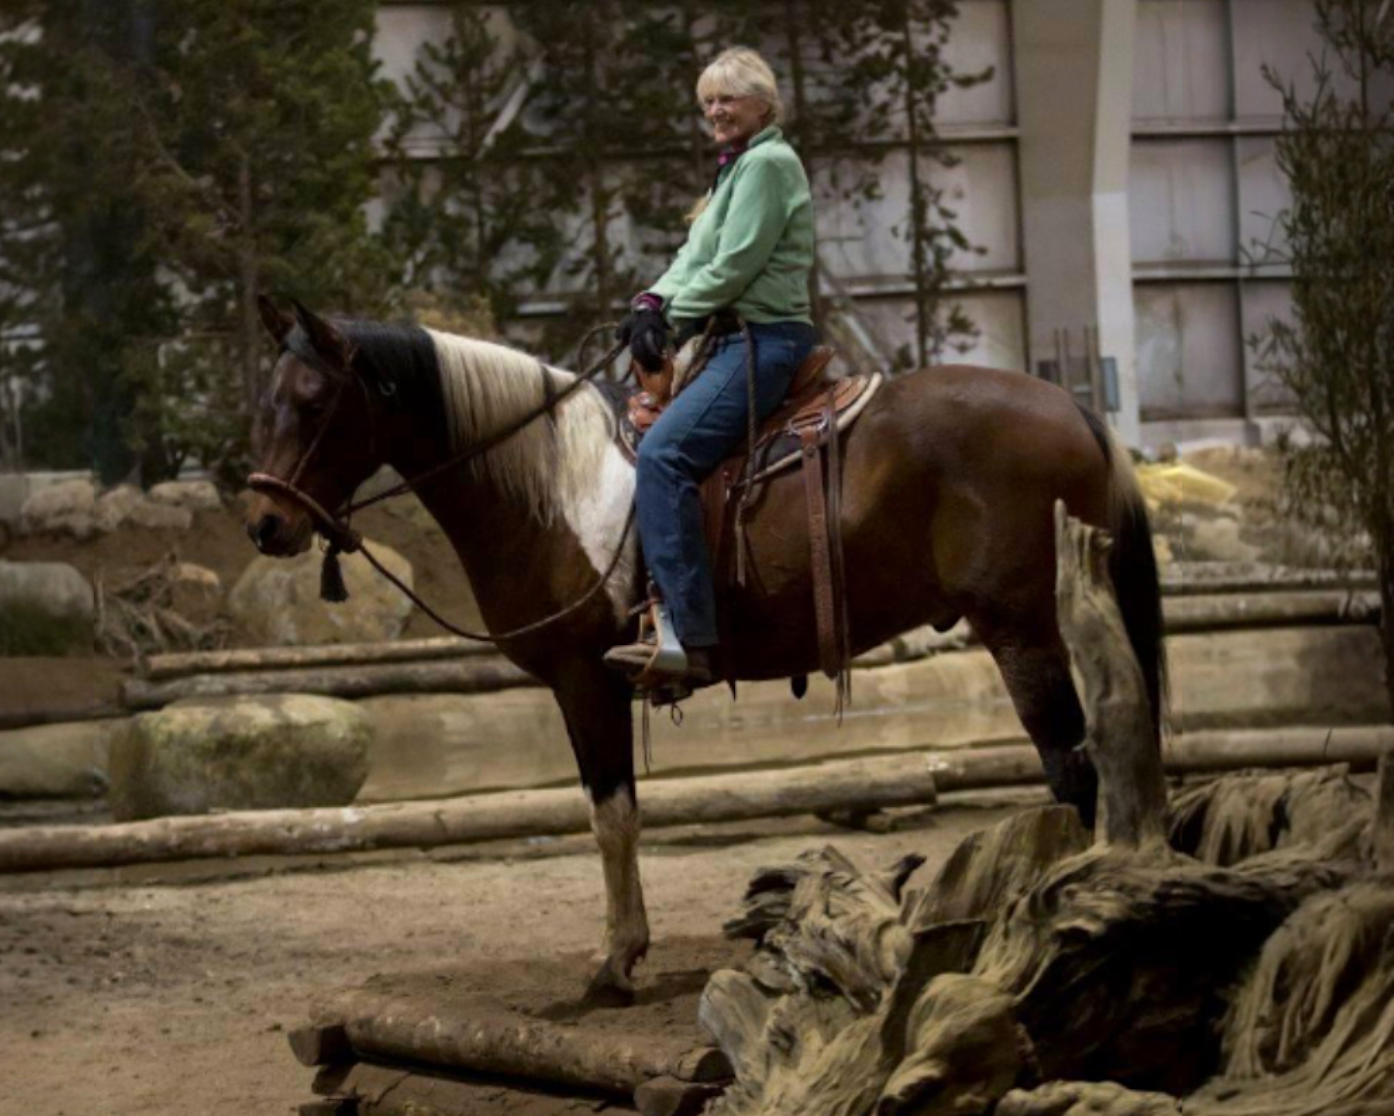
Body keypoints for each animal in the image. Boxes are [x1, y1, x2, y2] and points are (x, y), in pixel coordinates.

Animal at [244, 298, 1165, 1003]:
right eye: (267, 399)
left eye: (316, 402)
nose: (264, 524)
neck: (550, 488)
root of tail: (1078, 412)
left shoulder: (584, 682)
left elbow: (610, 814)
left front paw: (615, 961)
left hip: (1022, 632)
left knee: (1077, 770)